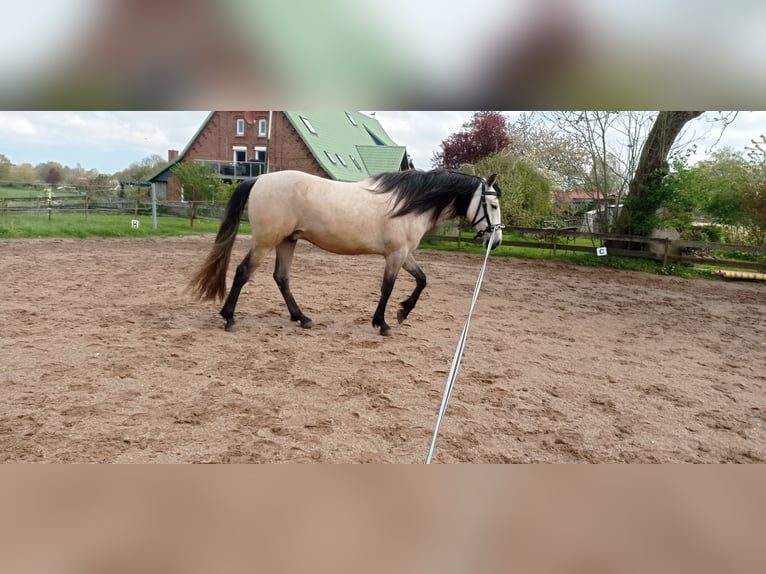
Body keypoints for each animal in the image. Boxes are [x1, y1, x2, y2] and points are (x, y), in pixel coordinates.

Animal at [189, 169, 503, 336]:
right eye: (494, 205)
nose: (497, 240)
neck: (409, 204)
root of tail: (260, 179)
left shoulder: (404, 255)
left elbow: (422, 279)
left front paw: (403, 312)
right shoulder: (395, 255)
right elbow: (387, 288)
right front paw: (383, 323)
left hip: (287, 242)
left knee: (281, 278)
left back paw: (302, 318)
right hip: (266, 242)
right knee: (243, 272)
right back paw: (229, 317)